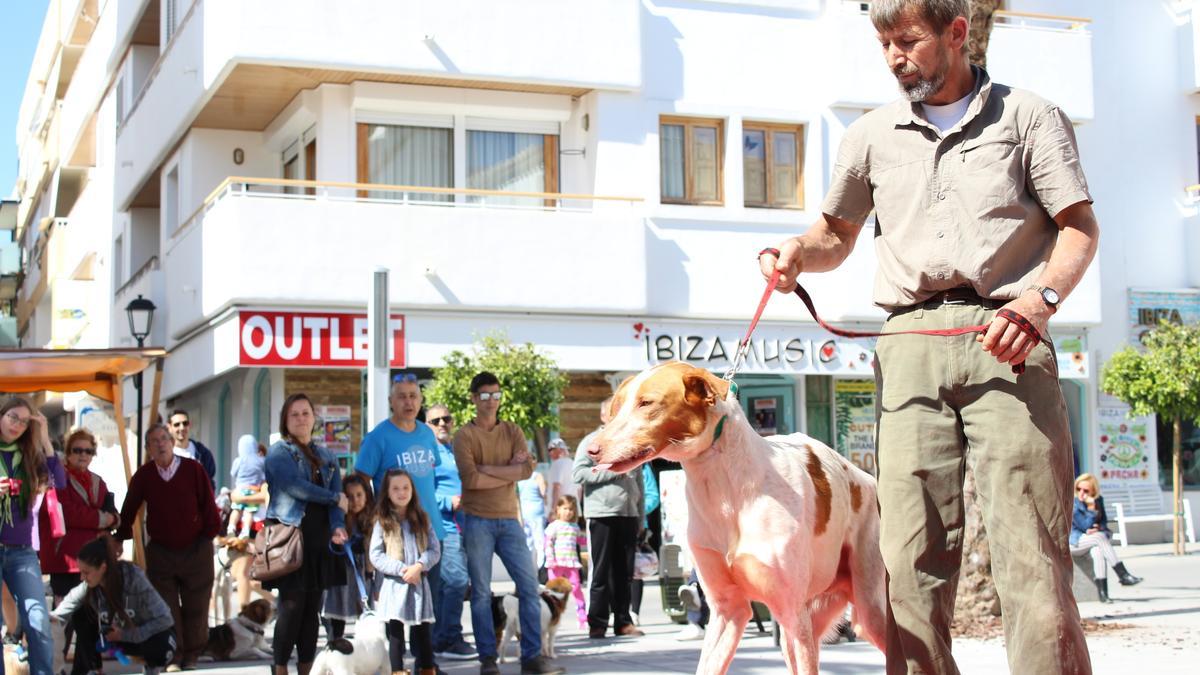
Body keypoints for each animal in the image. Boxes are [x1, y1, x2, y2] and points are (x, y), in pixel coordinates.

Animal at [585, 362, 888, 672]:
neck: (726, 495)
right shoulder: (728, 610)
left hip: (869, 611)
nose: (591, 451)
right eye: (617, 406)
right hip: (806, 624)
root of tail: (866, 477)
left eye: (646, 403)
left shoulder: (791, 611)